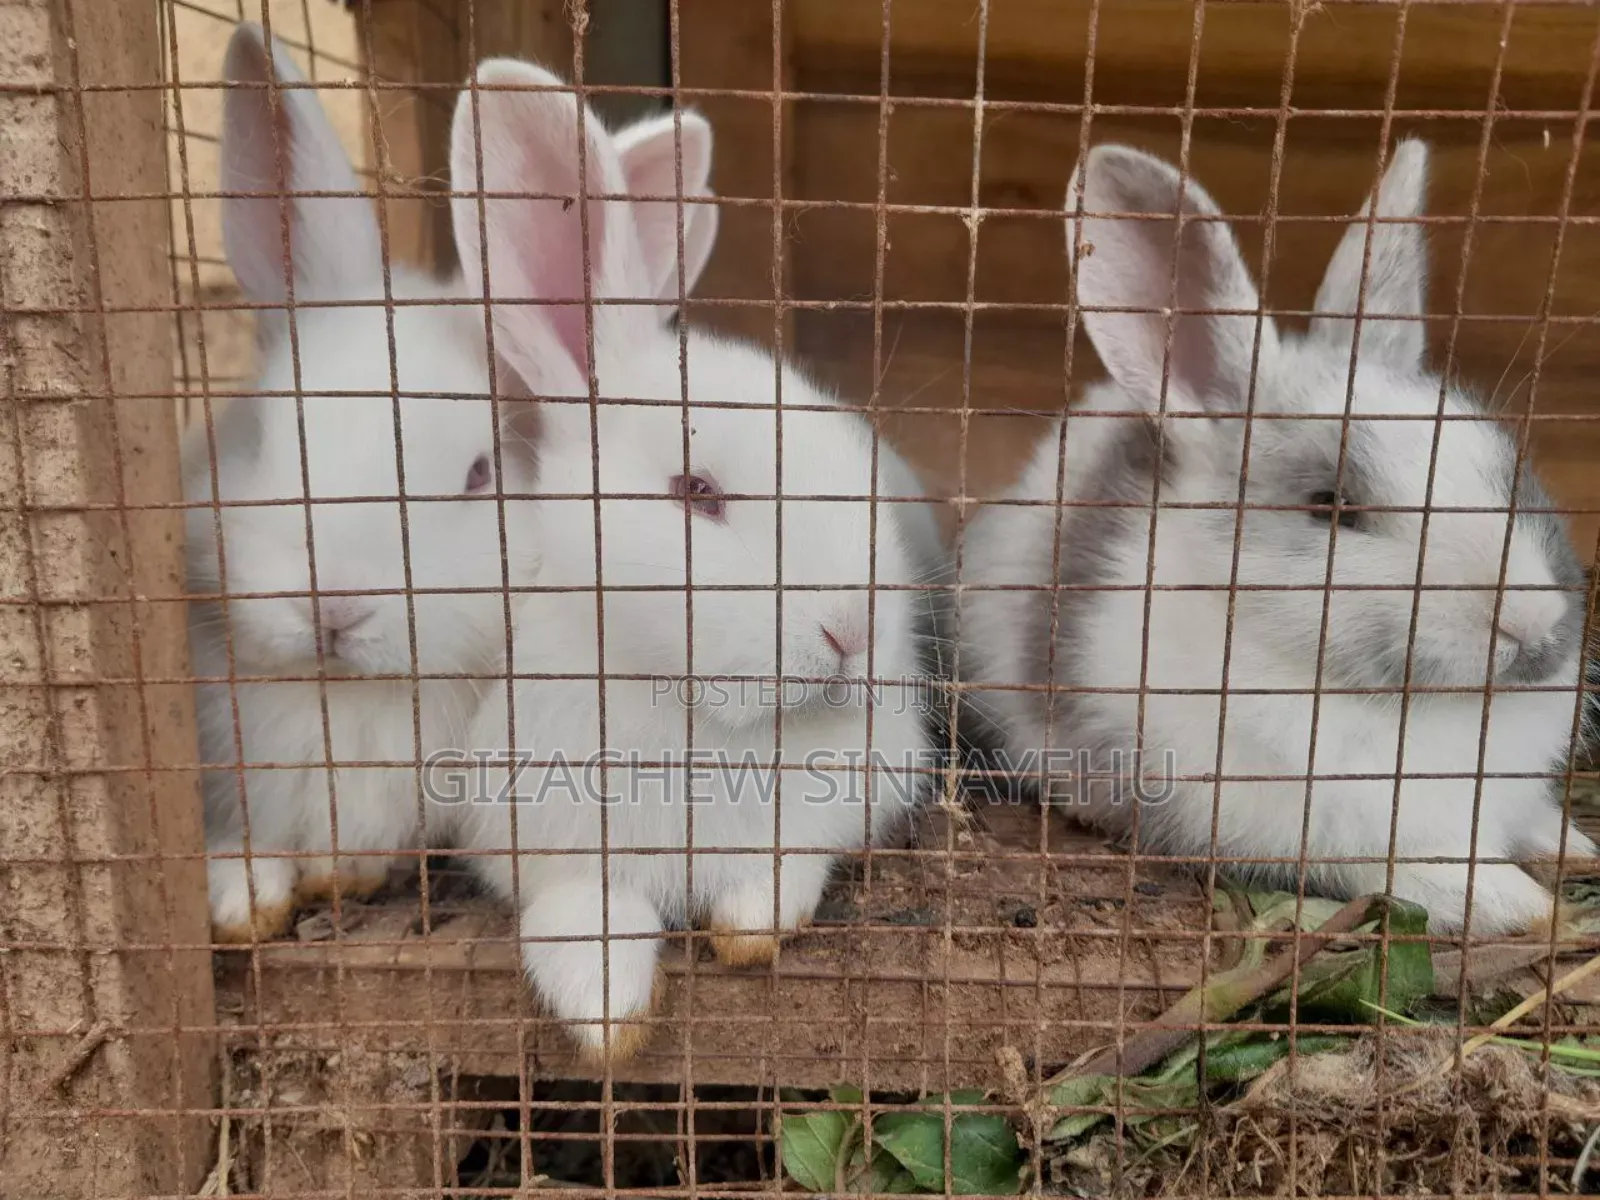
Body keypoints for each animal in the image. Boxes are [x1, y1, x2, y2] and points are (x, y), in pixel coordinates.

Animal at [436, 58, 936, 1060]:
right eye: (695, 490)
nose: (853, 627)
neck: (697, 719)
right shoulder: (547, 844)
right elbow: (582, 917)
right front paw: (608, 1018)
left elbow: (781, 872)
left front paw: (746, 932)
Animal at [955, 138, 1595, 935]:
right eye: (1331, 506)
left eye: (1509, 461)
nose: (1531, 621)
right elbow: (1413, 869)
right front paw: (1517, 904)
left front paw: (1569, 844)